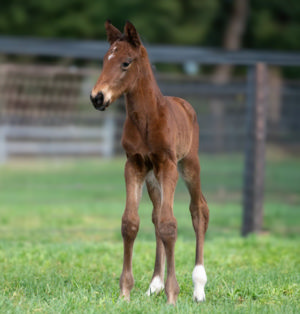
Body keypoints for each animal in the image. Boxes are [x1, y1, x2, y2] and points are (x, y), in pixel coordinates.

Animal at [90, 20, 210, 304]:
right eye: (104, 60)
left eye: (126, 62)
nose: (97, 97)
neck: (147, 119)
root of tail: (184, 104)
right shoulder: (134, 164)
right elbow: (131, 223)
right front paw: (125, 292)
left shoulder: (168, 165)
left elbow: (170, 225)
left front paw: (172, 295)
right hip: (153, 177)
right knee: (156, 215)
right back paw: (154, 284)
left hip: (189, 164)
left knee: (198, 210)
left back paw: (198, 286)